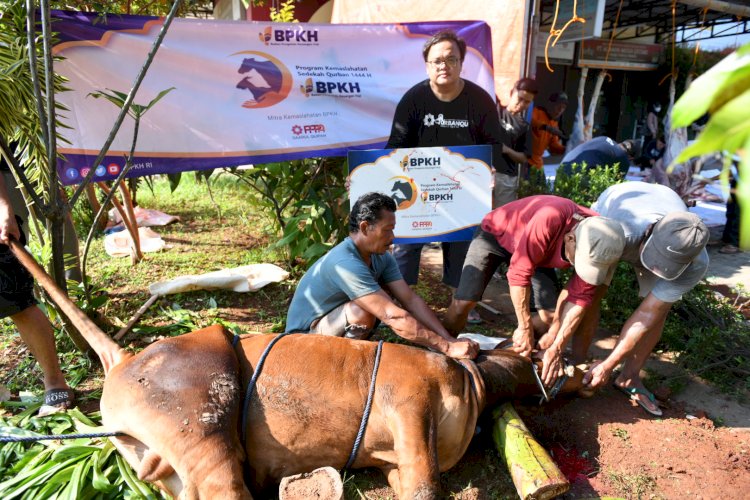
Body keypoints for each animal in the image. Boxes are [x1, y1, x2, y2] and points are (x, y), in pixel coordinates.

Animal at [11, 240, 588, 498]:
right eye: (538, 357)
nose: (576, 368)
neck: (474, 385)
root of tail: (126, 359)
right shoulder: (410, 402)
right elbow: (427, 486)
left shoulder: (396, 458)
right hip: (201, 414)